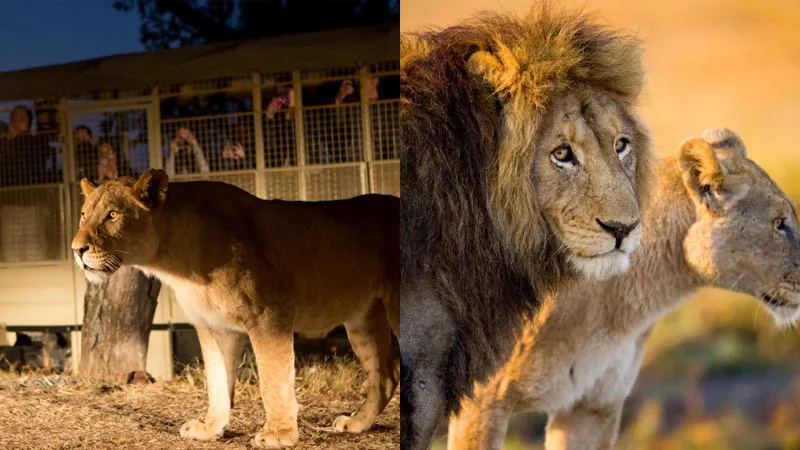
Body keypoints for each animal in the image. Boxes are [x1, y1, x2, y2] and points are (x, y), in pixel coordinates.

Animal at [71, 172, 399, 448]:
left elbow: (273, 378)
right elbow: (217, 380)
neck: (177, 262)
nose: (77, 250)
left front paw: (279, 433)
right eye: (84, 214)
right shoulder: (212, 326)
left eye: (113, 215)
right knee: (385, 377)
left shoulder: (270, 315)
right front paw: (210, 428)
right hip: (362, 320)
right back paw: (357, 423)